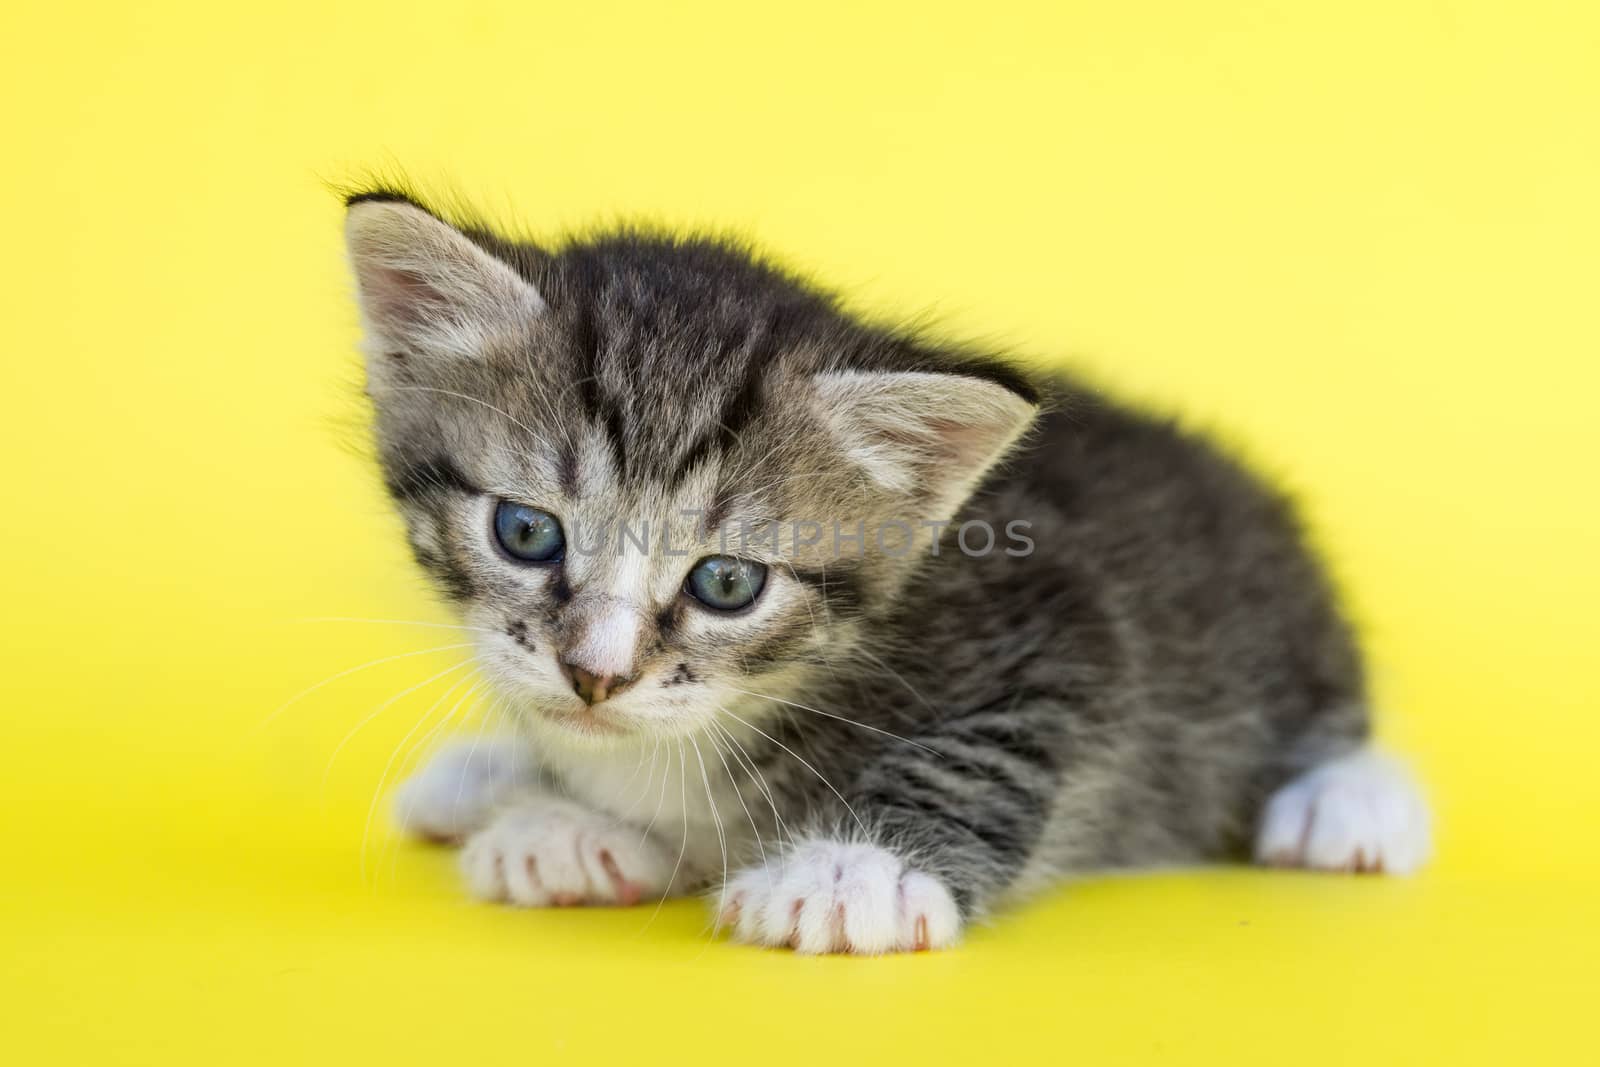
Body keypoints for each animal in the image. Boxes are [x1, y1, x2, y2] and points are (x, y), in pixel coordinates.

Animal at [344, 187, 1433, 953]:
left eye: (727, 584)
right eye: (526, 531)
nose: (595, 675)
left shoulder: (1060, 617)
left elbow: (980, 749)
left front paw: (848, 870)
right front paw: (568, 821)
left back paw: (1349, 802)